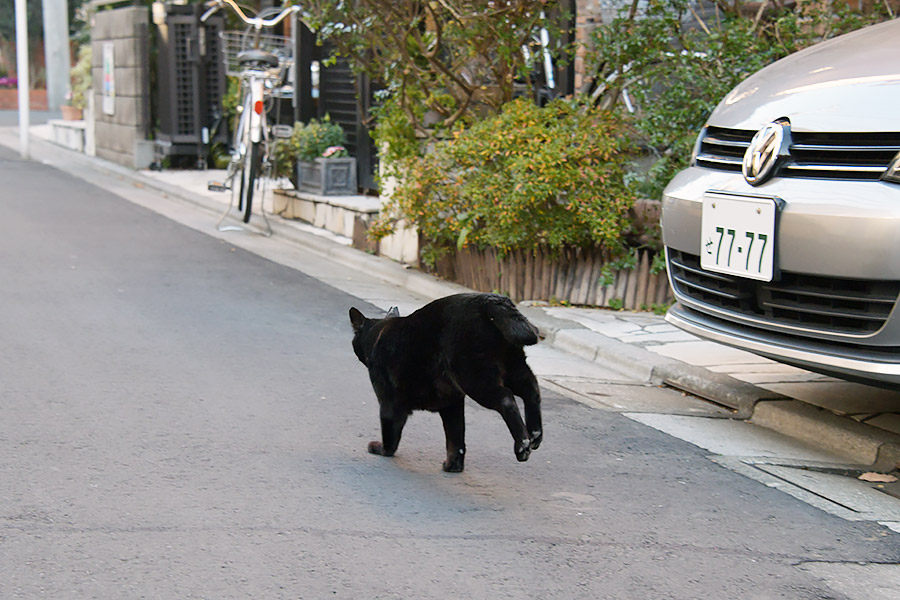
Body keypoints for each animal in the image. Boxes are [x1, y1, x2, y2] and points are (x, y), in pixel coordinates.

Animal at [350, 292, 540, 472]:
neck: (377, 335)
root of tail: (490, 301)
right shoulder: (451, 402)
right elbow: (455, 436)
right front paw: (454, 465)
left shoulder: (388, 402)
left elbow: (390, 432)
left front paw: (382, 449)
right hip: (513, 369)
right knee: (532, 391)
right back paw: (535, 435)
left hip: (475, 378)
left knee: (506, 398)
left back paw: (522, 445)